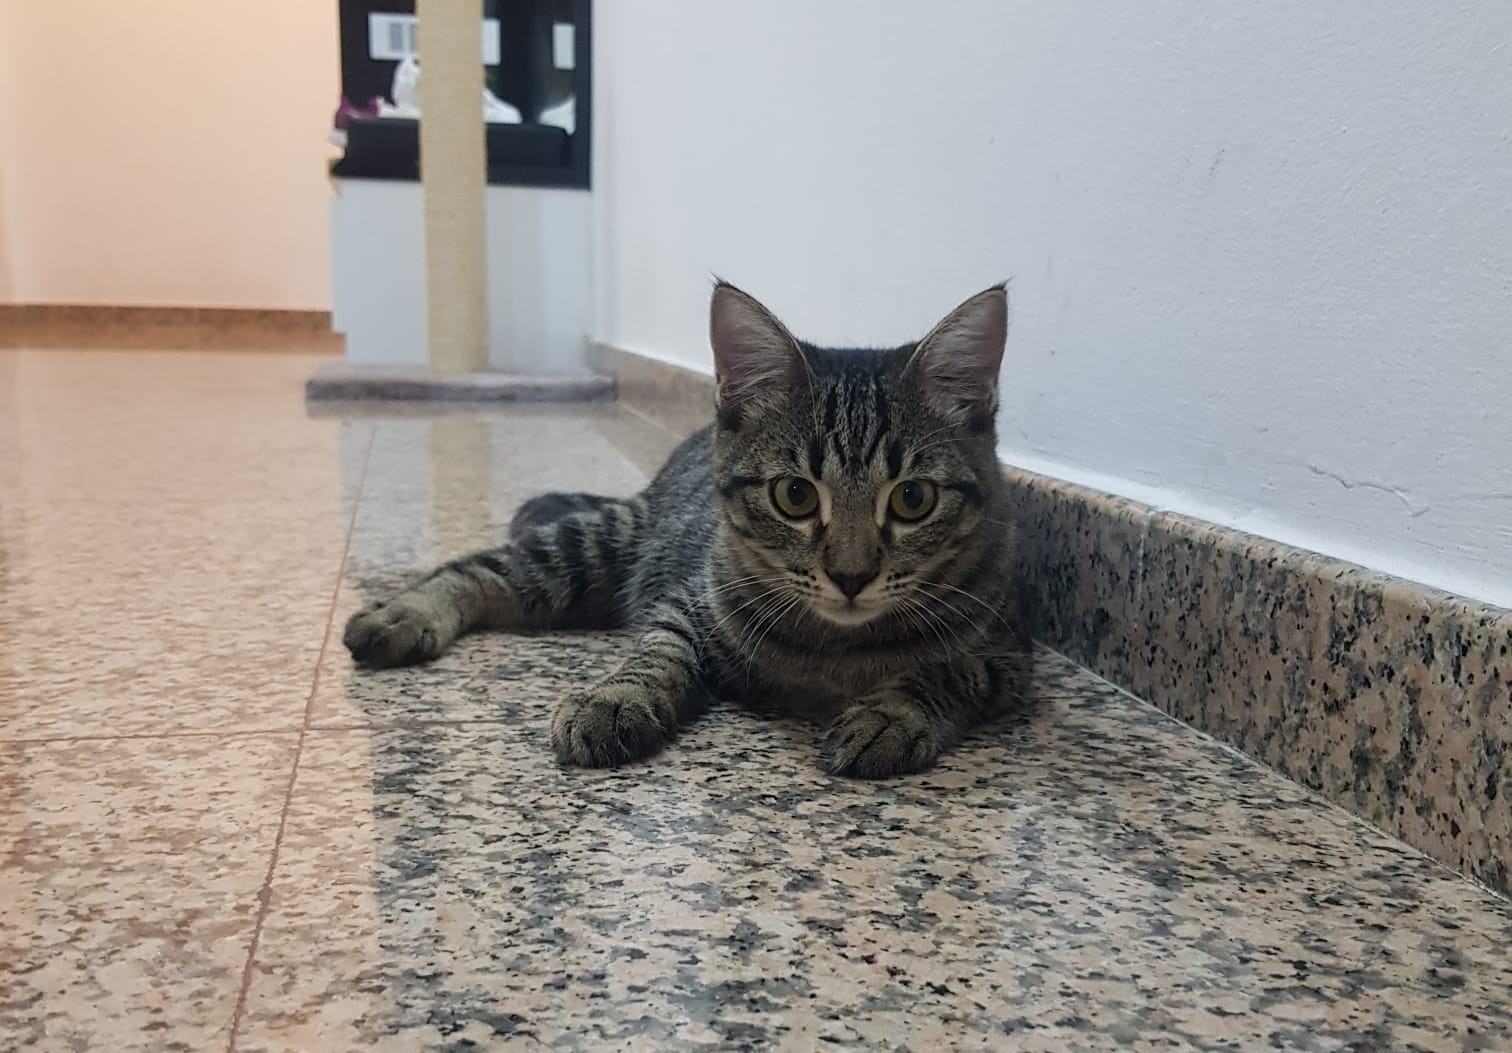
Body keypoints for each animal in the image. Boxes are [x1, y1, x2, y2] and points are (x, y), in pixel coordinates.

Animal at [343, 282, 1031, 778]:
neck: (835, 651)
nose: (851, 575)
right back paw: (403, 614)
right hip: (593, 546)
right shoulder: (687, 600)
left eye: (913, 499)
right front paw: (615, 697)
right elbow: (658, 649)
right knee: (478, 569)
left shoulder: (1010, 657)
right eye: (795, 495)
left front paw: (890, 713)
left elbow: (945, 671)